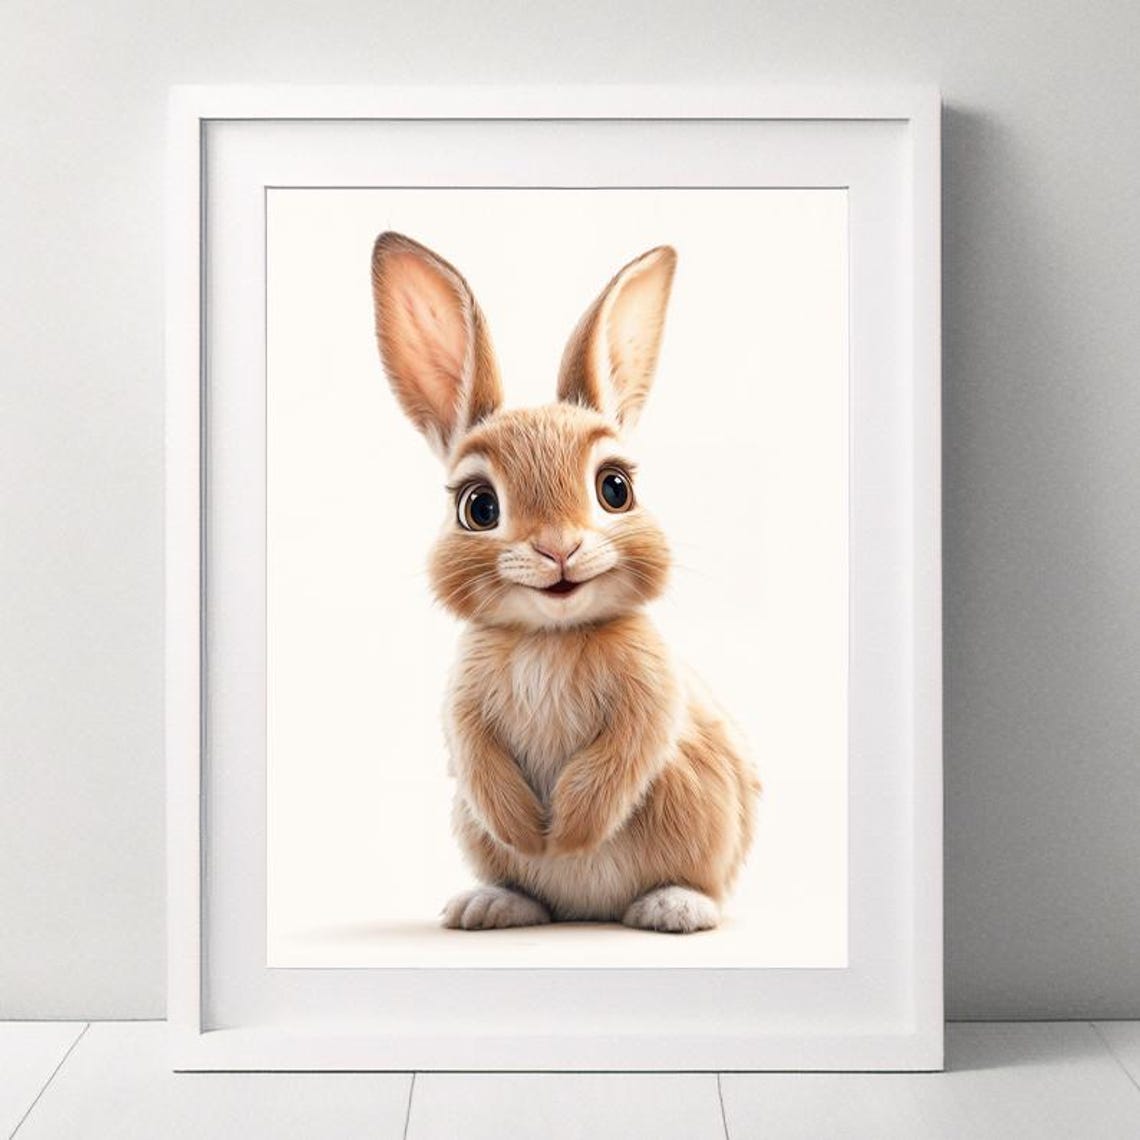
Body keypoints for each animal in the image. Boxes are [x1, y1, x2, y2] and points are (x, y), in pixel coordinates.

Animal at [370, 231, 760, 934]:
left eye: (616, 488)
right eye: (478, 507)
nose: (558, 549)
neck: (548, 636)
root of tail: (590, 910)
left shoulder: (650, 698)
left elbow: (621, 759)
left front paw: (571, 831)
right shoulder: (463, 711)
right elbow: (480, 761)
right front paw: (531, 833)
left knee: (700, 884)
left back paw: (673, 906)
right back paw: (490, 903)